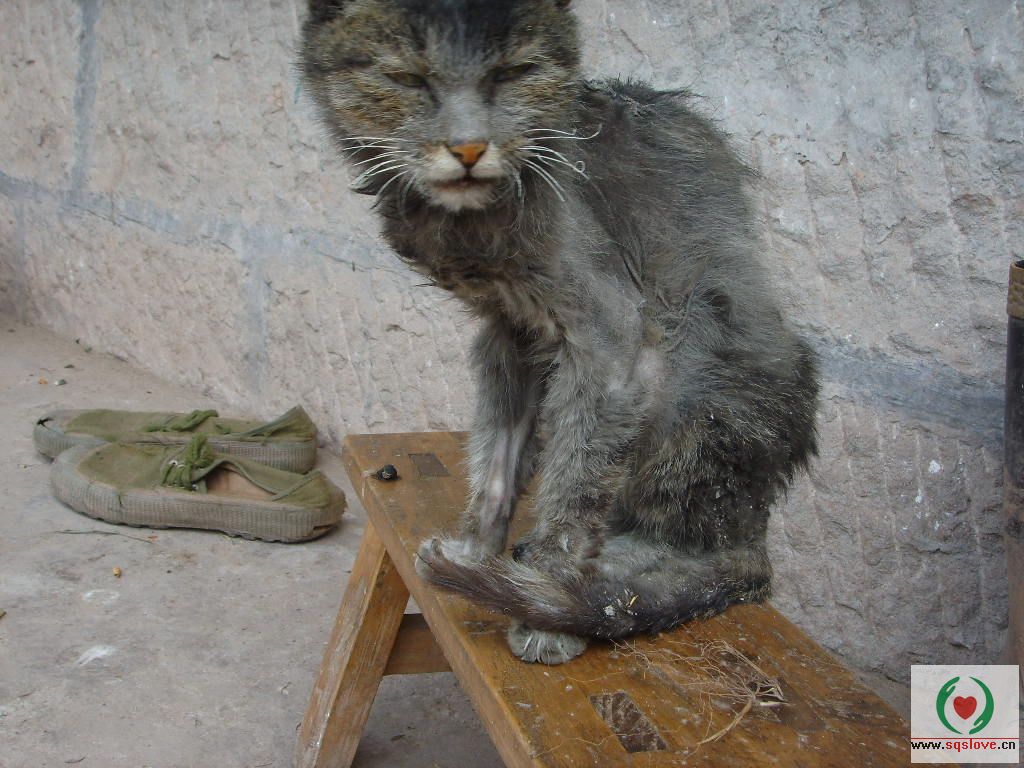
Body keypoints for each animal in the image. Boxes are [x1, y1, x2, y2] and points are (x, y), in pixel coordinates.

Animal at [300, 0, 819, 665]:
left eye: (513, 74)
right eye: (409, 80)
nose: (468, 147)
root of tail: (761, 527)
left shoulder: (613, 342)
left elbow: (575, 488)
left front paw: (544, 603)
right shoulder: (510, 332)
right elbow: (497, 452)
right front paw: (478, 550)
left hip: (699, 347)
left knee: (701, 548)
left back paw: (604, 592)